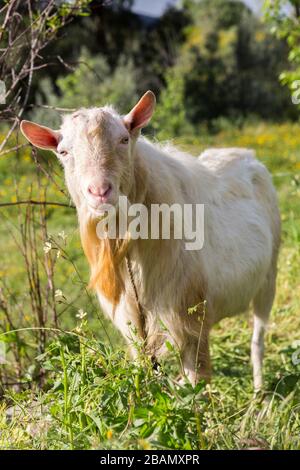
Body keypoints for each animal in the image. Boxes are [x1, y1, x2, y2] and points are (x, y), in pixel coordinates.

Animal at [21, 92, 282, 390]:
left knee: (258, 338)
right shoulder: (135, 327)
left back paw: (260, 390)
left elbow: (197, 383)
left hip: (269, 276)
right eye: (63, 152)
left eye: (124, 139)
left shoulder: (188, 320)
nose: (100, 191)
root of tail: (249, 158)